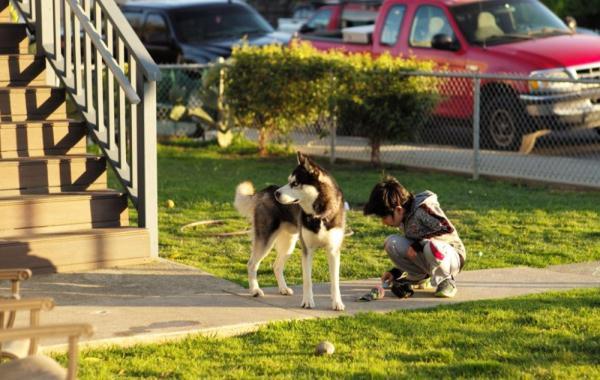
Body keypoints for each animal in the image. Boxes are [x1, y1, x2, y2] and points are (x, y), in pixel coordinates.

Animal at [234, 153, 346, 310]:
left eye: (295, 183)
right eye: (288, 181)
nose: (277, 193)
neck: (319, 214)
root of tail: (266, 191)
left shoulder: (333, 250)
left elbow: (335, 282)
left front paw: (337, 303)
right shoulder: (307, 250)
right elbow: (307, 280)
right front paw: (307, 301)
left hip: (288, 245)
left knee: (276, 266)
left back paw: (283, 288)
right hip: (266, 242)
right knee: (251, 264)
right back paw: (255, 290)